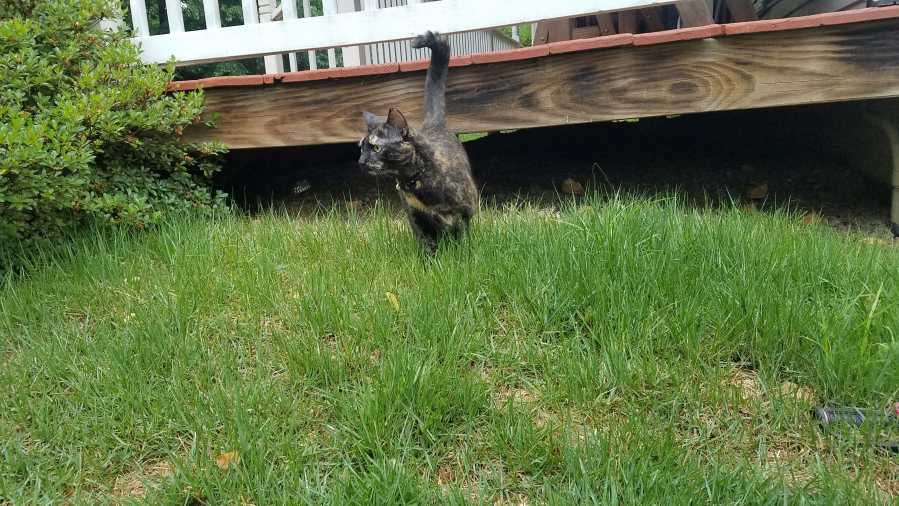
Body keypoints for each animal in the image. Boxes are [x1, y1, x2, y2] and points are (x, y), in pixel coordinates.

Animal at [358, 31, 478, 253]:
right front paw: (431, 260)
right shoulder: (417, 219)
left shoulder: (465, 210)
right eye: (361, 148)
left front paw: (465, 254)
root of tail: (433, 125)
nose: (361, 162)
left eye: (376, 147)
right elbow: (427, 246)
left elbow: (464, 237)